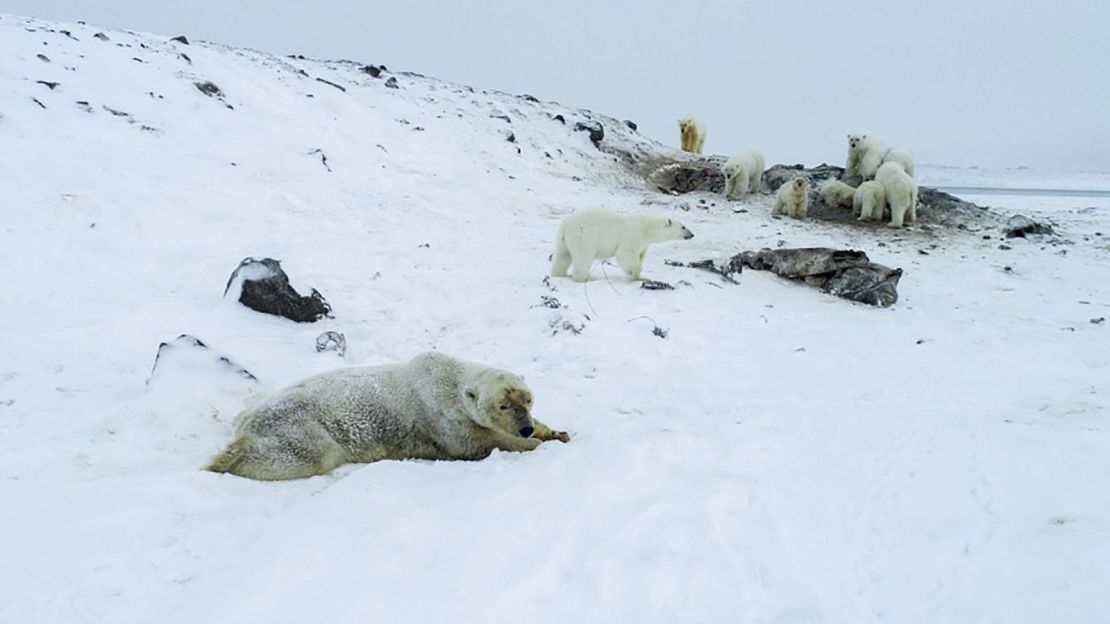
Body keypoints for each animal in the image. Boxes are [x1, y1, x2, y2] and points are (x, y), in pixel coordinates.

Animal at [206, 353, 572, 477]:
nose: (525, 428)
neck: (448, 379)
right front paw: (534, 445)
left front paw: (556, 432)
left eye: (528, 400)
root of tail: (246, 419)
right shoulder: (442, 419)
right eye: (503, 405)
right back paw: (223, 460)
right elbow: (479, 442)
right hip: (299, 426)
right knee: (303, 455)